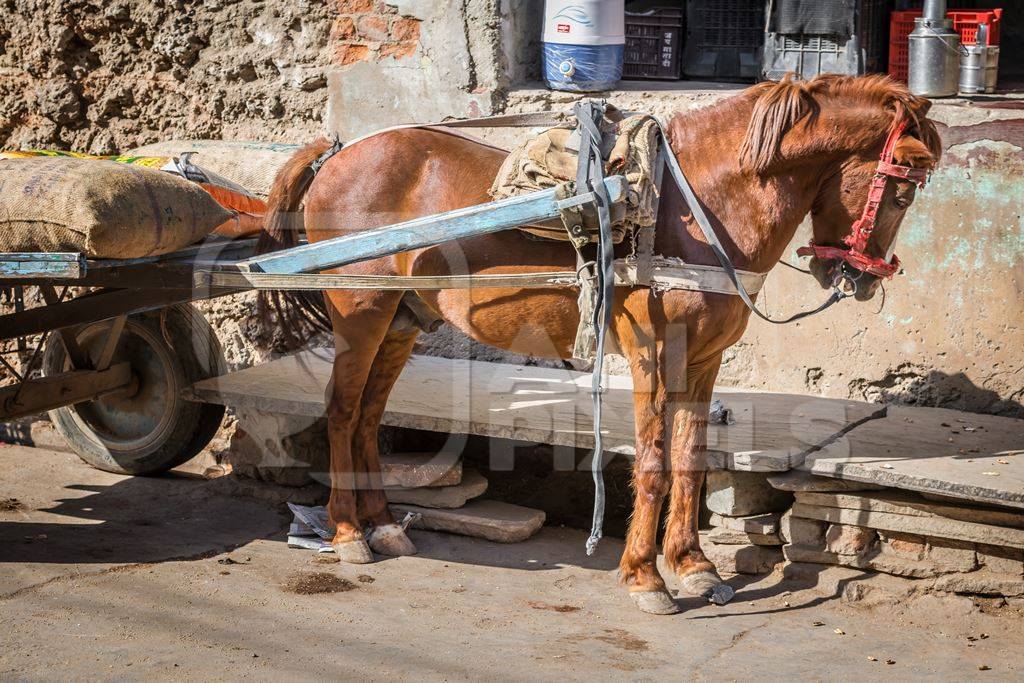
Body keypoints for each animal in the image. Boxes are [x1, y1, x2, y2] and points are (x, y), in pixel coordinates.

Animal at [260, 74, 937, 614]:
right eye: (903, 190)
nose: (860, 279)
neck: (704, 201)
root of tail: (336, 155)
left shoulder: (703, 360)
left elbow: (691, 460)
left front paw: (692, 566)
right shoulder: (651, 354)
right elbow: (654, 463)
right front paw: (644, 577)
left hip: (402, 318)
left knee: (370, 416)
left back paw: (381, 526)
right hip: (361, 312)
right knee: (343, 411)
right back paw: (348, 534)